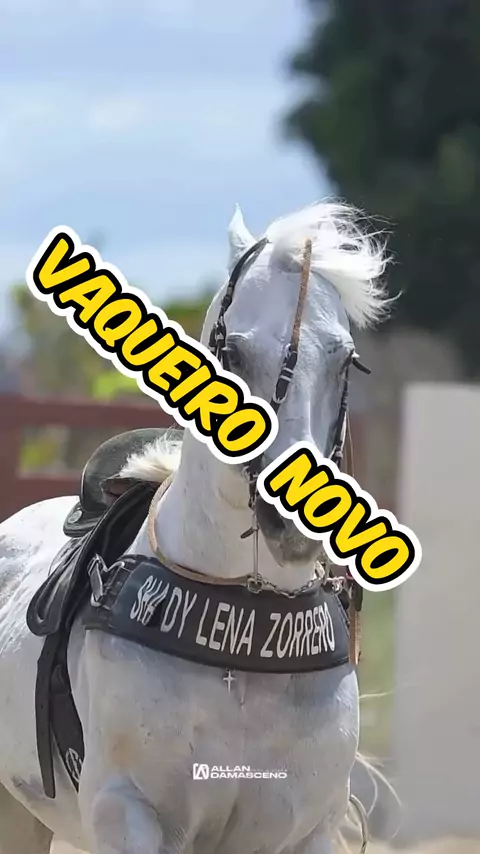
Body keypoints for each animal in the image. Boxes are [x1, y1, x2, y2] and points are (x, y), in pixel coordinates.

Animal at [0, 201, 388, 854]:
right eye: (231, 353)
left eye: (346, 361)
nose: (292, 520)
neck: (243, 625)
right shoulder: (125, 813)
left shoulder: (306, 829)